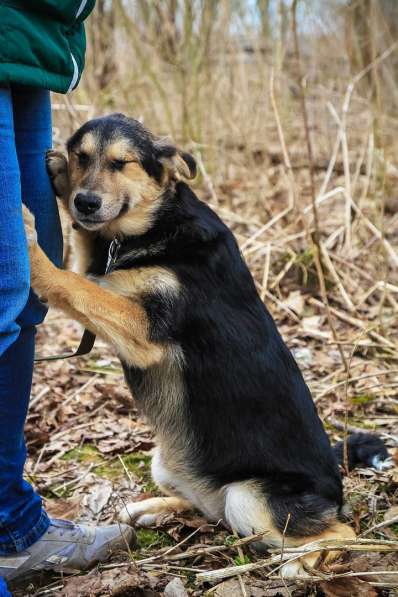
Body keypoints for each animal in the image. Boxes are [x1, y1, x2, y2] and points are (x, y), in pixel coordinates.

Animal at [23, 113, 360, 576]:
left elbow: (73, 283)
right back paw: (153, 508)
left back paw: (303, 564)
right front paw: (57, 171)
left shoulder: (143, 327)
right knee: (206, 510)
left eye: (121, 163)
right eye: (82, 157)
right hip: (166, 462)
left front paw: (29, 249)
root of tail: (336, 495)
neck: (153, 223)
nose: (84, 203)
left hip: (249, 496)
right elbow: (81, 268)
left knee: (341, 532)